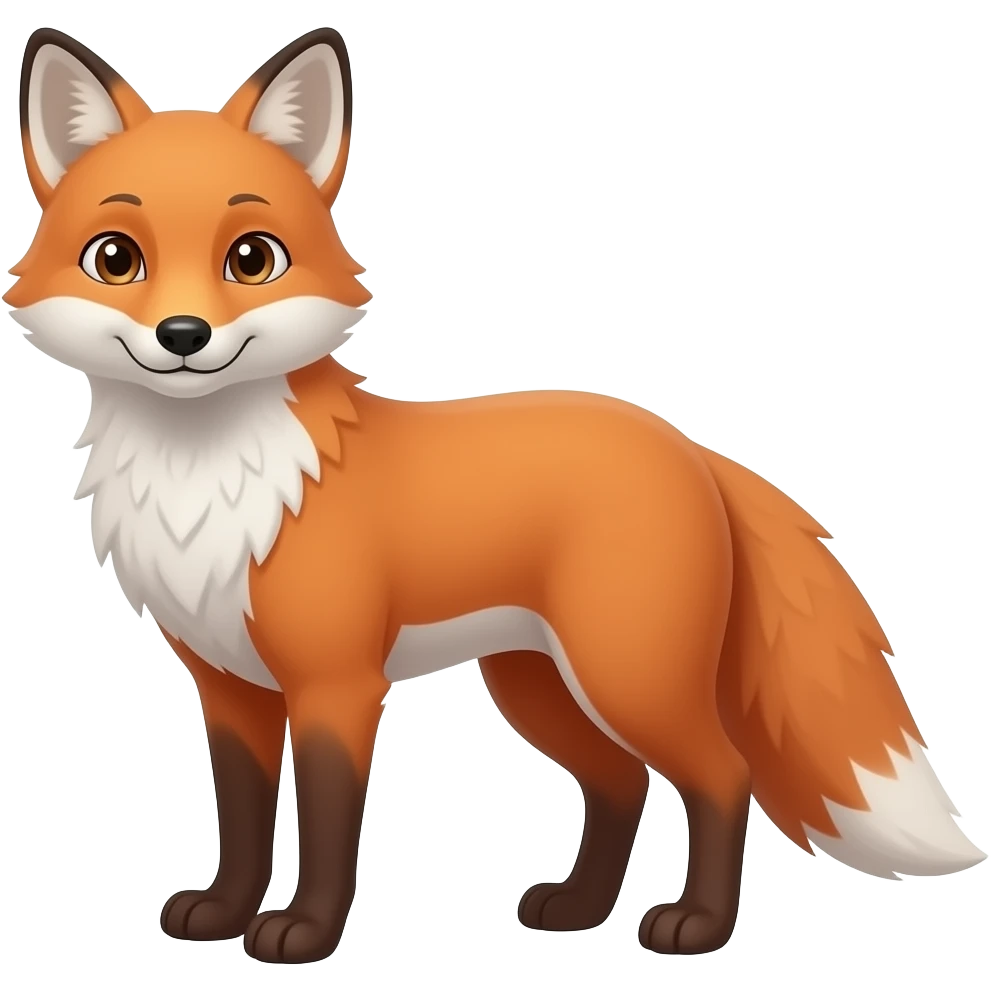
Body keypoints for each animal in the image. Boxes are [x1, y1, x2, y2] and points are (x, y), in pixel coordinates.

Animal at [5, 25, 986, 965]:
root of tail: (687, 445)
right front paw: (220, 913)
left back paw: (696, 927)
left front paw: (304, 935)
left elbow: (326, 824)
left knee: (721, 773)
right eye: (116, 258)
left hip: (627, 675)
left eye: (252, 259)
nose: (183, 335)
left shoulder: (337, 683)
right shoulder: (229, 687)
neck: (206, 481)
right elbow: (243, 820)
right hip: (538, 685)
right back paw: (578, 909)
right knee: (619, 781)